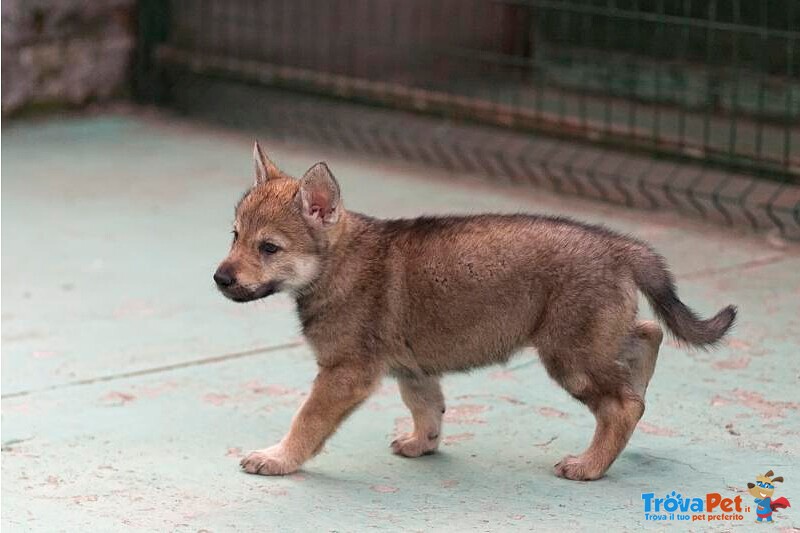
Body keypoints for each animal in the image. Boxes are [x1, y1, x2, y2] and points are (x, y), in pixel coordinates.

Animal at [214, 143, 736, 480]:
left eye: (269, 248)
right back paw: (636, 391)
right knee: (647, 338)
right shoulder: (412, 368)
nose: (220, 279)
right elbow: (427, 409)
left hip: (570, 356)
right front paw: (421, 445)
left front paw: (277, 459)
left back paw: (589, 465)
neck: (338, 260)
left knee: (621, 405)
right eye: (235, 236)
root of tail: (619, 246)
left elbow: (306, 423)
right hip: (594, 341)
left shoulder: (344, 374)